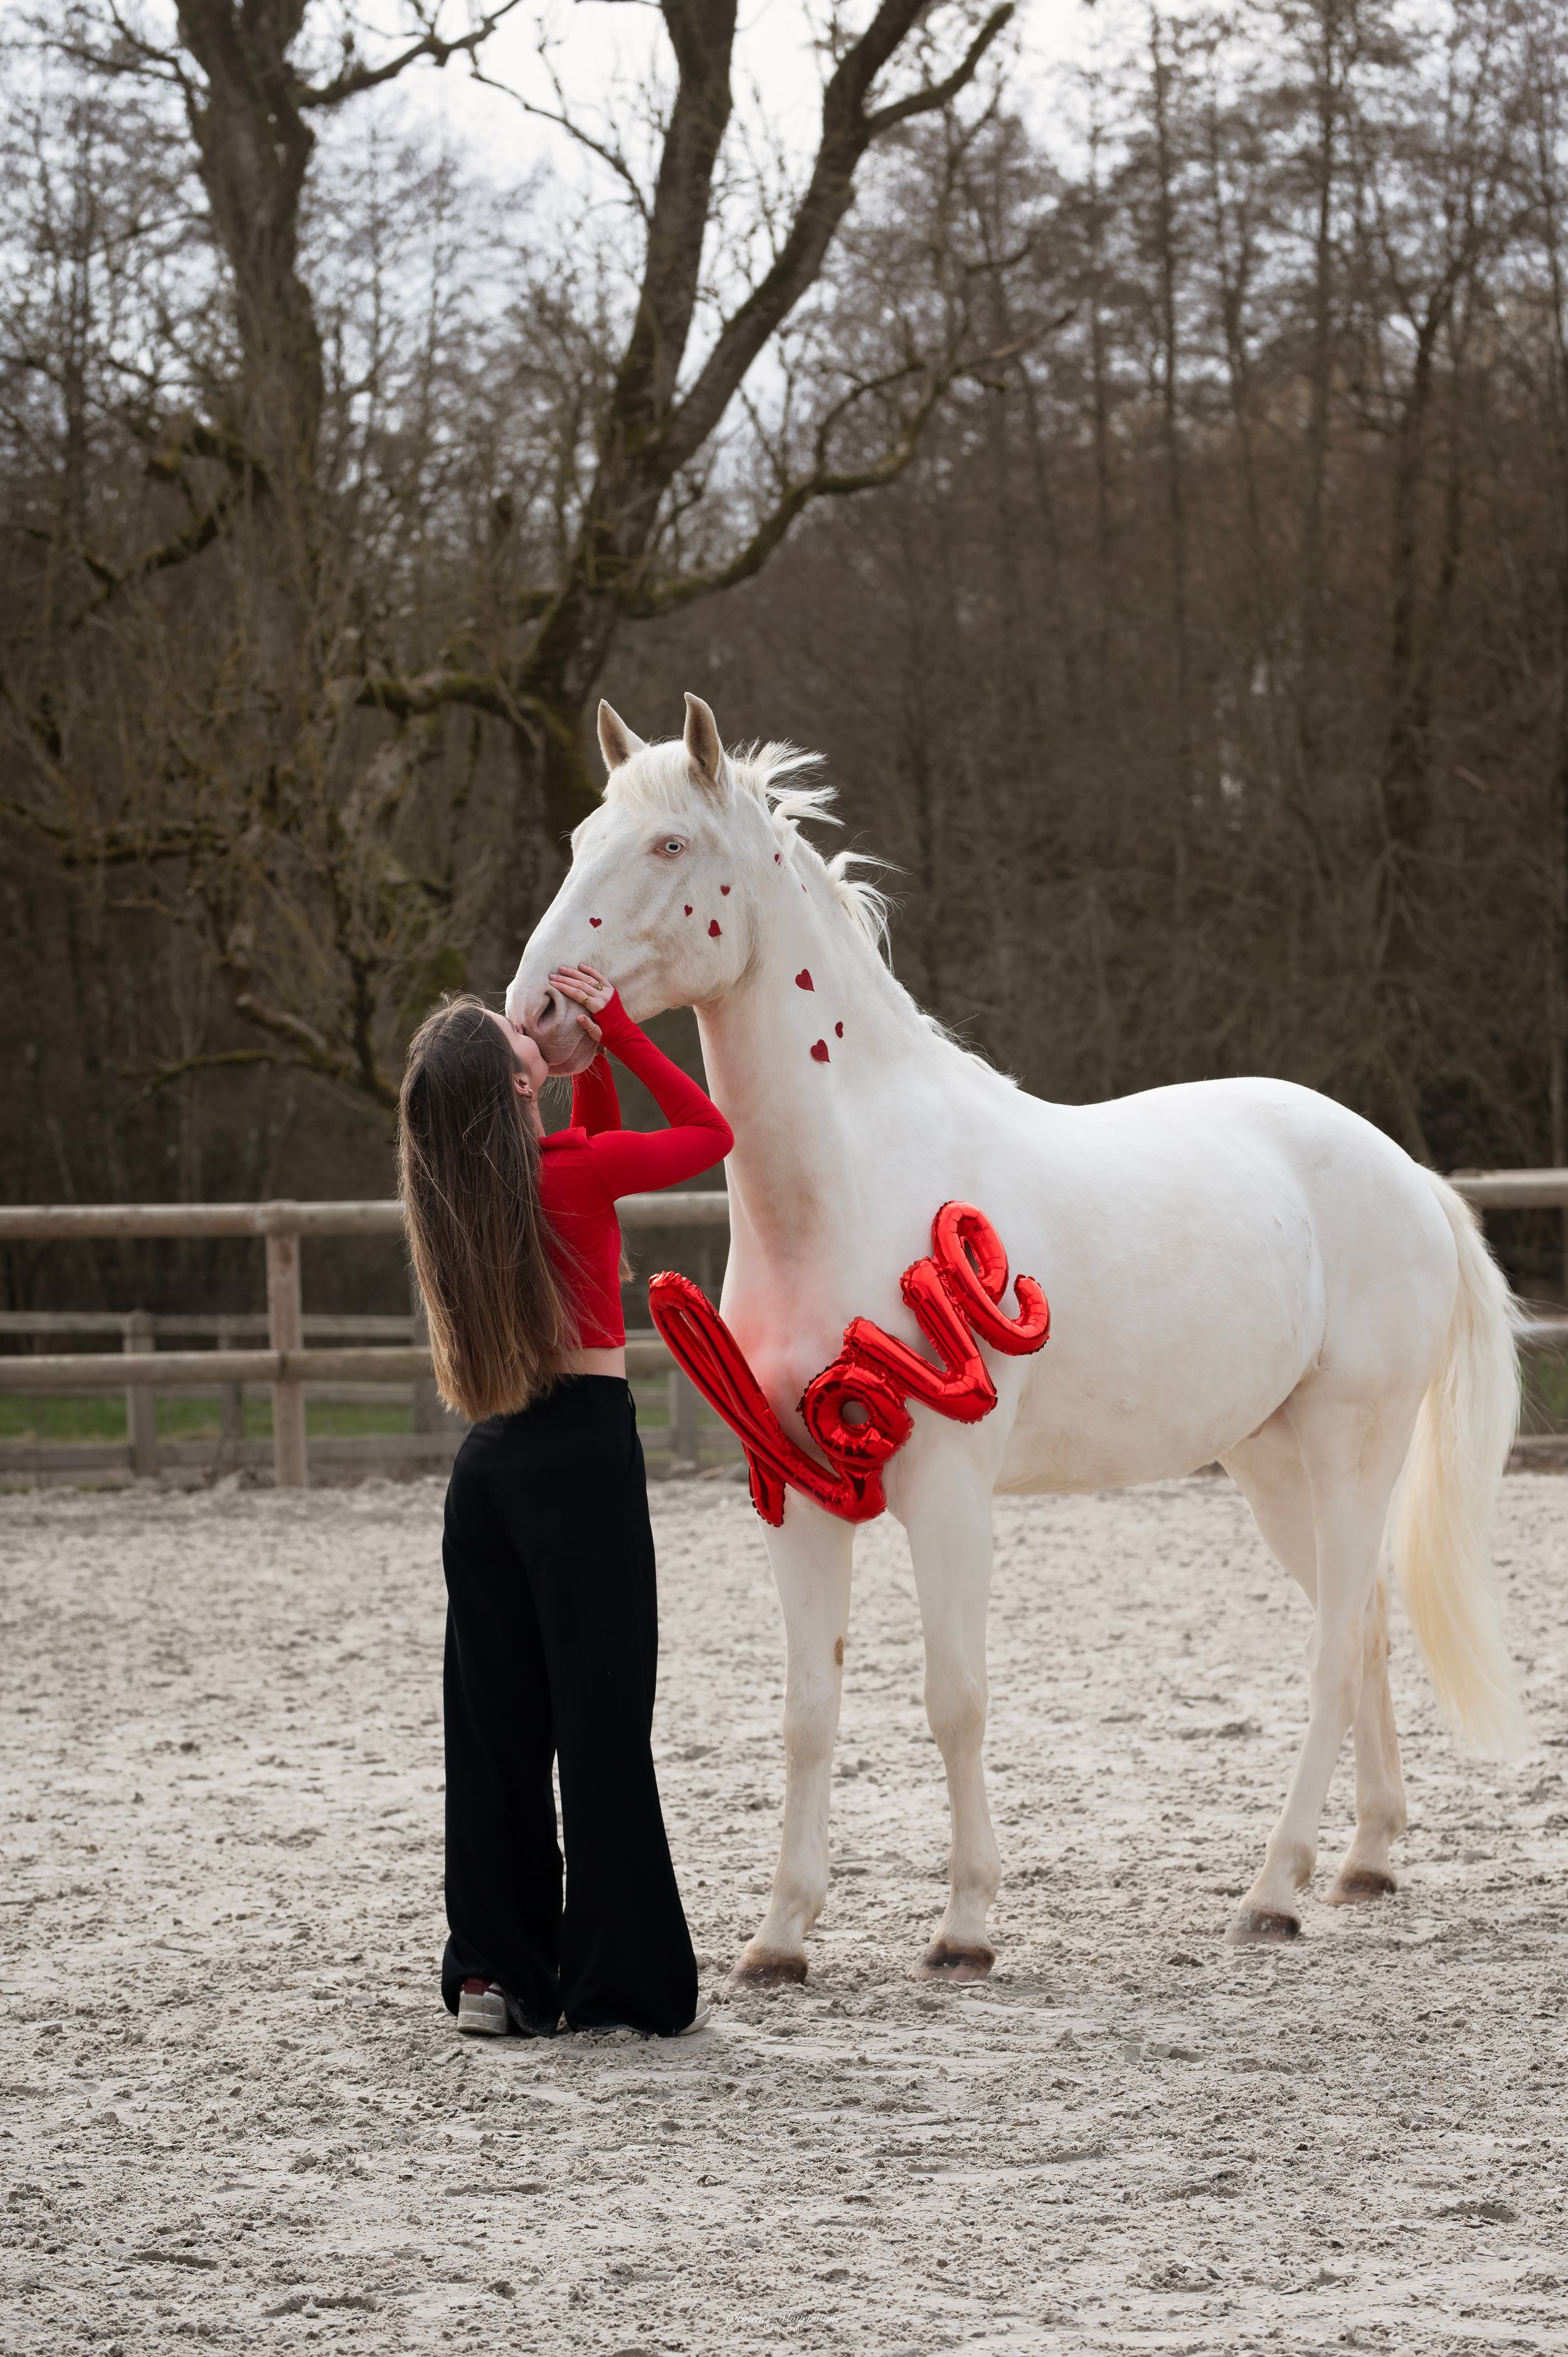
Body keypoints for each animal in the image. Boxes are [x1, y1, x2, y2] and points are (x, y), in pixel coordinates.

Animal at [507, 691, 1523, 1981]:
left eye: (670, 845)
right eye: (585, 835)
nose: (537, 1012)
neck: (853, 1182)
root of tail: (1410, 1179)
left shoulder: (946, 1490)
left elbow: (956, 1697)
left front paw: (967, 1925)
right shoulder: (796, 1493)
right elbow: (807, 1713)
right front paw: (780, 1938)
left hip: (1354, 1452)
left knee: (1338, 1644)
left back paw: (1274, 1888)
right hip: (1272, 1465)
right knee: (1372, 1630)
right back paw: (1367, 1859)